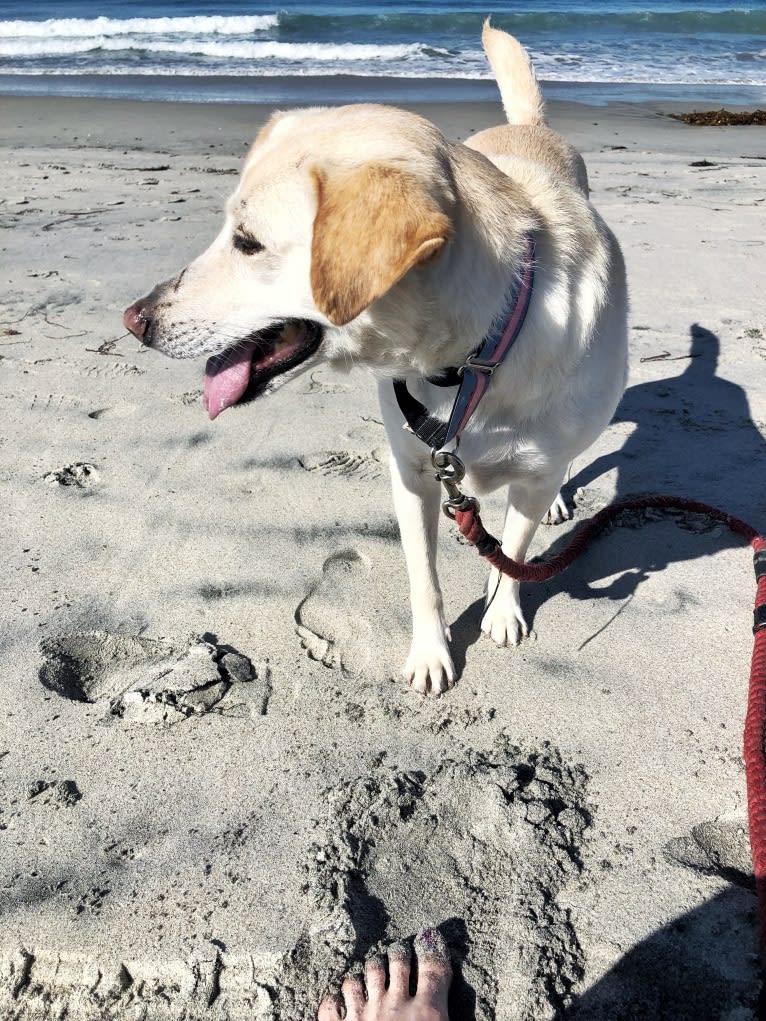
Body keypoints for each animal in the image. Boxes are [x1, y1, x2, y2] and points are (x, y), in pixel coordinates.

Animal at [124, 27, 629, 702]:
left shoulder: (529, 465)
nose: (134, 320)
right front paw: (432, 653)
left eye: (248, 242)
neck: (469, 358)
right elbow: (425, 577)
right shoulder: (413, 471)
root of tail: (526, 129)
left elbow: (515, 549)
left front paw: (501, 610)